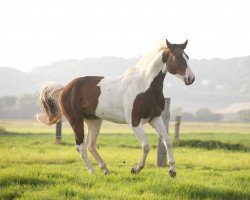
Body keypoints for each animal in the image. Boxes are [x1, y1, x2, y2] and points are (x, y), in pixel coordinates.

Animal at [36, 39, 195, 178]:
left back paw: (105, 169)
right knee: (81, 146)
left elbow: (167, 141)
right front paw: (136, 169)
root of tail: (65, 88)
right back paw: (92, 171)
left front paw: (172, 171)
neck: (144, 86)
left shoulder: (155, 118)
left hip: (94, 121)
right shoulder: (134, 122)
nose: (191, 78)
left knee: (91, 145)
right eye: (177, 57)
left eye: (187, 57)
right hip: (76, 120)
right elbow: (146, 146)